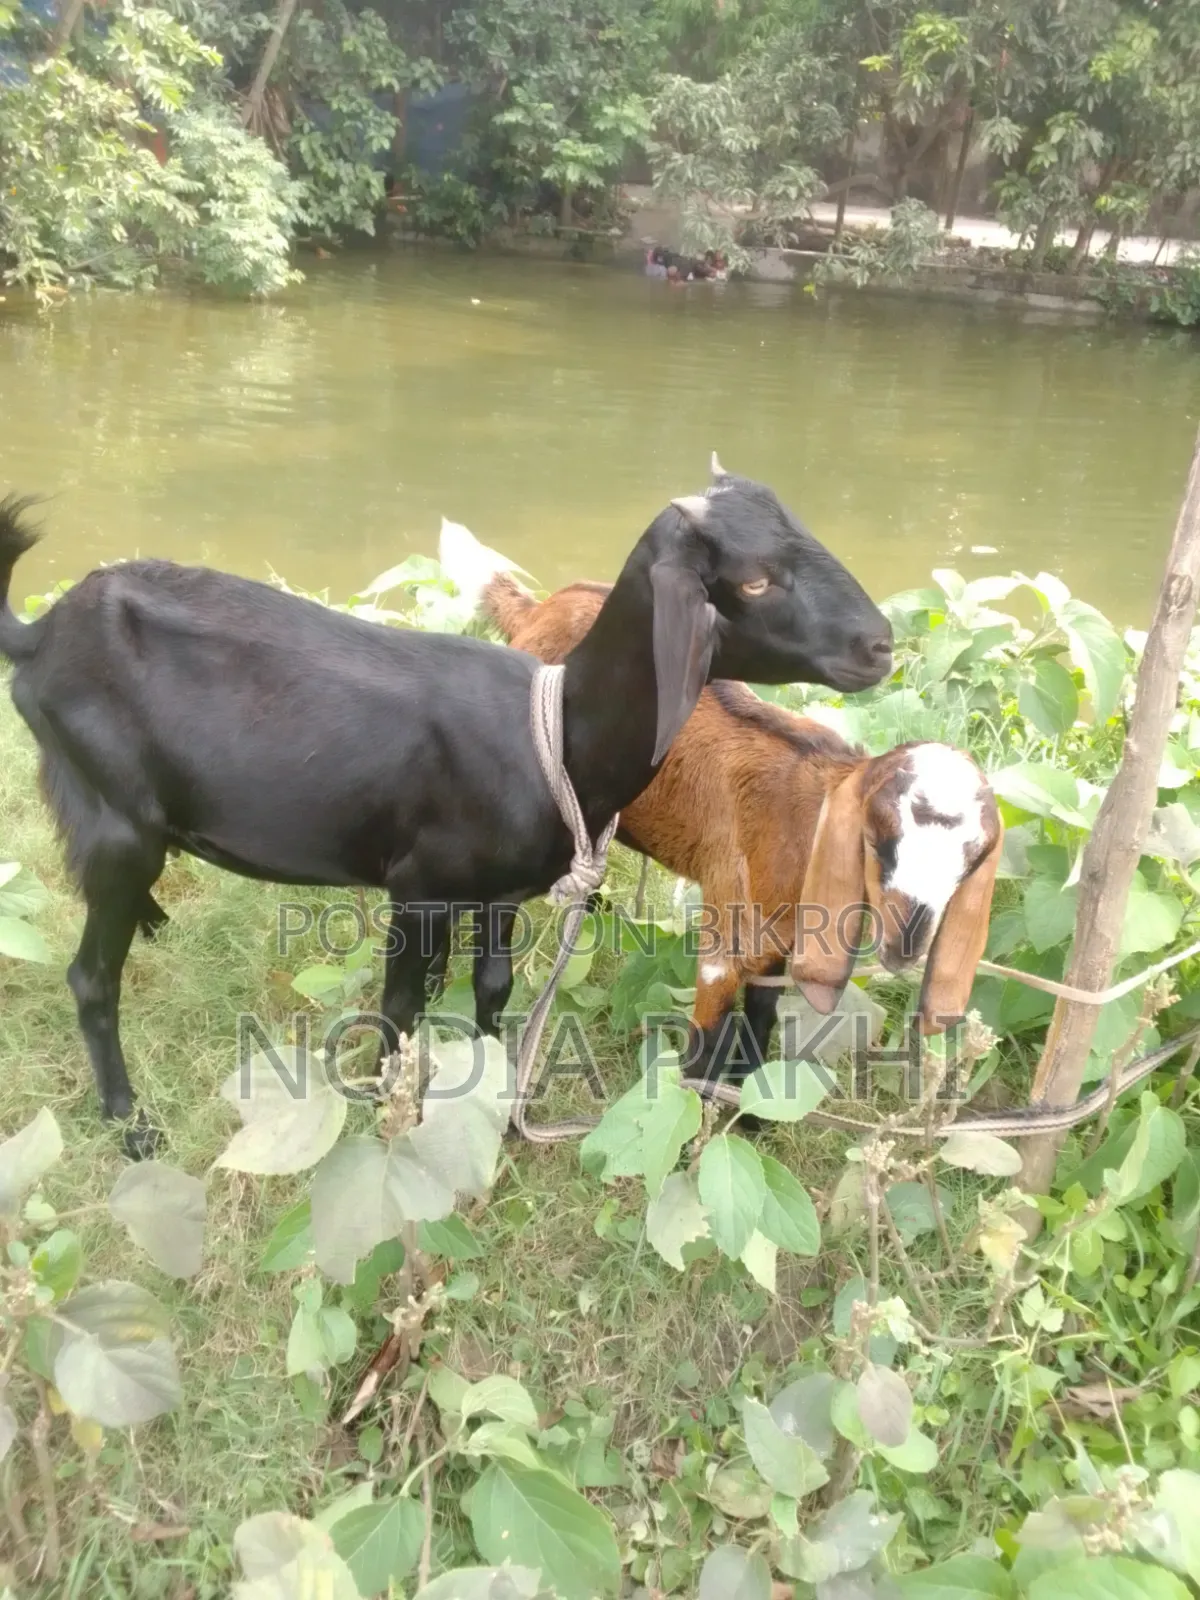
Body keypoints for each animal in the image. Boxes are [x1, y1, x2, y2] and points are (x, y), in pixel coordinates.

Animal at [0, 466, 893, 1145]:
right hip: (116, 814)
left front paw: (492, 1088)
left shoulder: (500, 891)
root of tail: (39, 634)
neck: (554, 732)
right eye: (754, 578)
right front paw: (392, 1111)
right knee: (90, 976)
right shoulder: (422, 887)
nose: (880, 644)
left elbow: (493, 985)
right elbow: (398, 1007)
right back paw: (130, 1123)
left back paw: (154, 928)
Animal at [457, 554, 1001, 1083]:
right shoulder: (726, 931)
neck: (802, 818)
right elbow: (705, 1047)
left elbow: (760, 1017)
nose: (906, 943)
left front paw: (748, 1102)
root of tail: (543, 609)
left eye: (973, 859)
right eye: (877, 834)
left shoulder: (781, 938)